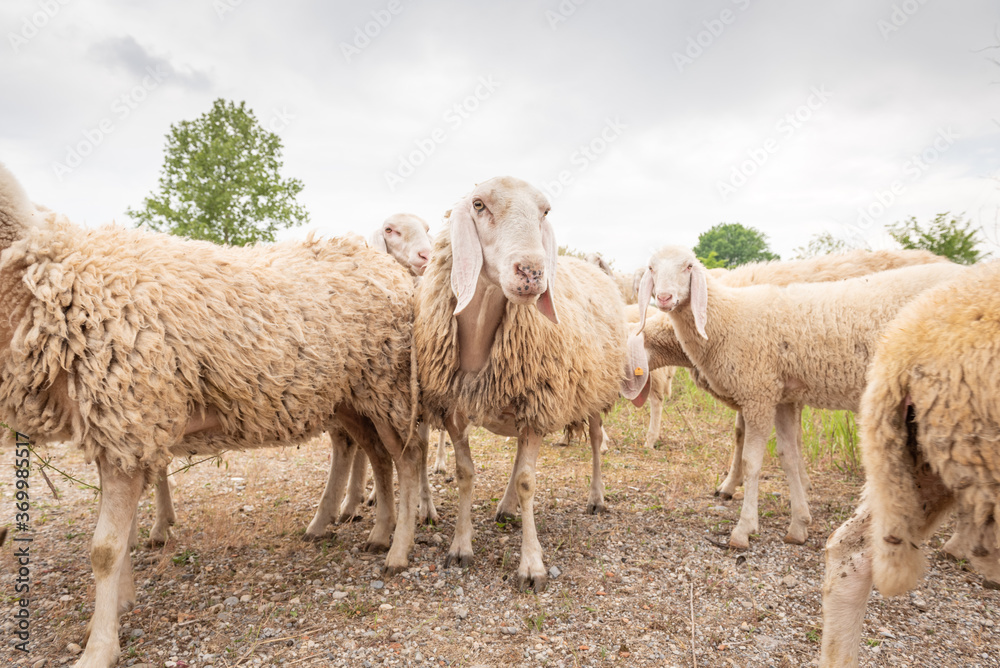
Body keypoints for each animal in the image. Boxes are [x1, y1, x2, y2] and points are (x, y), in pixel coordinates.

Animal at [0, 163, 426, 668]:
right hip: (354, 397)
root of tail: (392, 270)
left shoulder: (127, 417)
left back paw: (398, 550)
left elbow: (104, 548)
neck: (43, 271)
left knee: (407, 459)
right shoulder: (121, 431)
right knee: (378, 457)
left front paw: (99, 647)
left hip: (388, 385)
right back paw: (377, 533)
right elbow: (121, 539)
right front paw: (118, 607)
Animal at [412, 176, 628, 588]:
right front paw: (460, 546)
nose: (531, 272)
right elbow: (466, 474)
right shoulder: (454, 410)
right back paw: (507, 507)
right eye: (478, 204)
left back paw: (596, 497)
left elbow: (529, 481)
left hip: (594, 389)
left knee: (595, 439)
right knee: (517, 459)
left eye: (545, 211)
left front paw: (532, 566)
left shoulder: (538, 404)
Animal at [636, 245, 964, 548]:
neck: (731, 315)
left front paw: (742, 524)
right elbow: (787, 454)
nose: (663, 298)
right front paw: (798, 521)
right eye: (651, 268)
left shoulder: (758, 392)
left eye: (689, 266)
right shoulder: (783, 395)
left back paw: (956, 544)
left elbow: (750, 456)